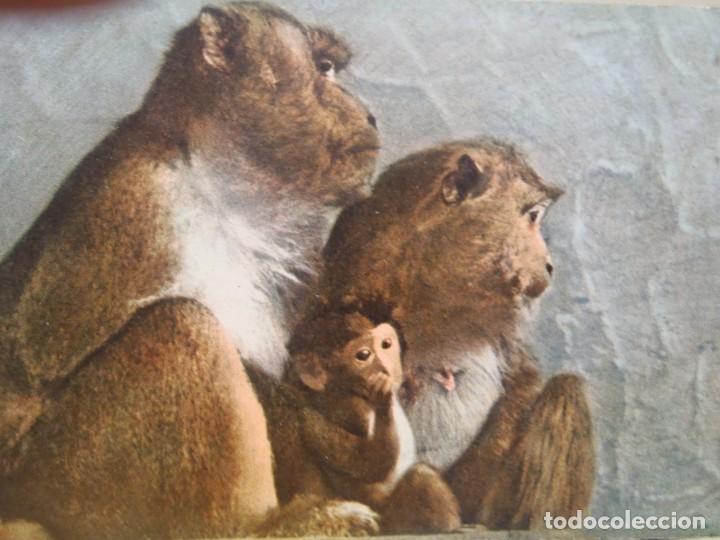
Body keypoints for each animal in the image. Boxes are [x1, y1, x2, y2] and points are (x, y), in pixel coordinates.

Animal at [0, 2, 380, 538]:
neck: (222, 189)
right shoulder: (137, 202)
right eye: (323, 68)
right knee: (181, 324)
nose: (370, 114)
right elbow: (32, 366)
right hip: (69, 487)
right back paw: (255, 529)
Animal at [249, 304, 461, 535]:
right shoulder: (354, 408)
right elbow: (371, 463)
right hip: (390, 518)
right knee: (422, 478)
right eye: (363, 355)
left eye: (386, 345)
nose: (385, 368)